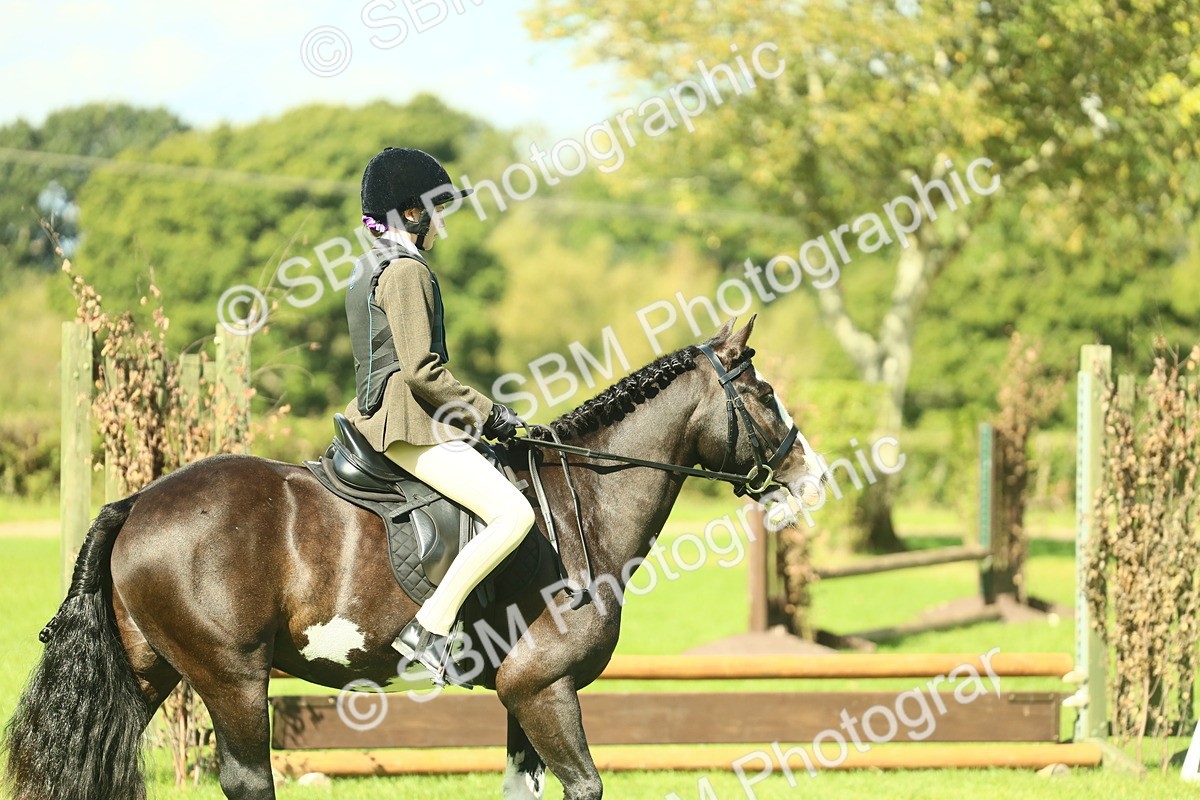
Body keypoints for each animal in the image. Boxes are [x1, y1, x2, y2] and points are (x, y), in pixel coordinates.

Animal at [4, 317, 819, 800]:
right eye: (764, 393)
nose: (810, 475)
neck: (584, 497)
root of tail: (139, 501)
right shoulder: (543, 686)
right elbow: (585, 786)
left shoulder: (521, 695)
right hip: (230, 676)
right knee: (248, 779)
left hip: (147, 672)